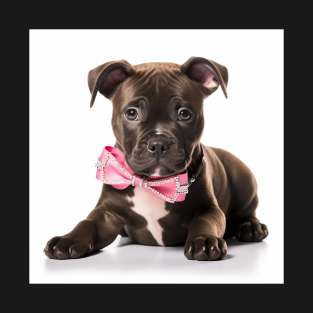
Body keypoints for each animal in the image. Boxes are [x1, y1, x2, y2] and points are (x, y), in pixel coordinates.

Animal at [44, 56, 268, 260]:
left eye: (184, 114)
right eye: (131, 113)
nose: (158, 143)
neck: (152, 183)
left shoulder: (208, 209)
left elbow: (206, 221)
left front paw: (204, 240)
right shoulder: (107, 214)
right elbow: (87, 223)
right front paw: (68, 239)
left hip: (245, 181)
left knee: (248, 211)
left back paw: (251, 227)